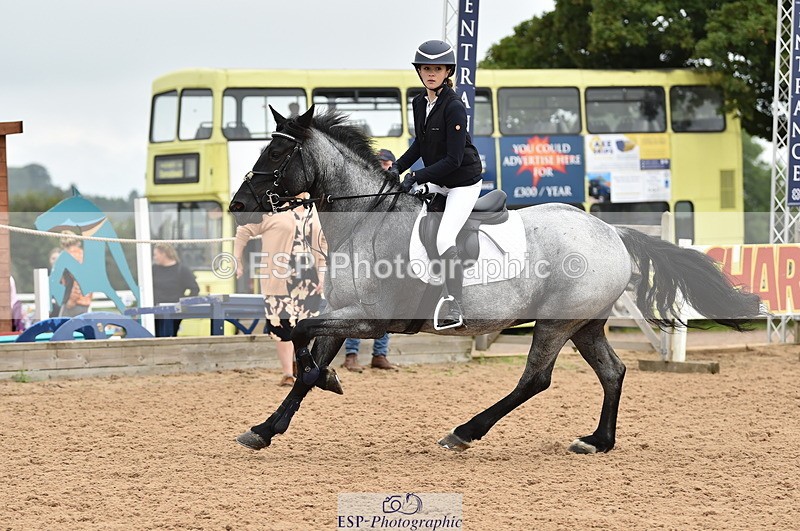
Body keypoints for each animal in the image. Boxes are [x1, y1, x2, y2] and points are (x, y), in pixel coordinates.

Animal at [228, 105, 761, 455]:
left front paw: (321, 382)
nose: (238, 205)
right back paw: (598, 441)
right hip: (585, 324)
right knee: (612, 371)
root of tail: (611, 230)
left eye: (275, 154)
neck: (366, 218)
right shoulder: (343, 314)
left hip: (555, 324)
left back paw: (465, 433)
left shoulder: (368, 320)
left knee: (535, 379)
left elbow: (299, 334)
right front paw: (268, 426)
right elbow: (305, 357)